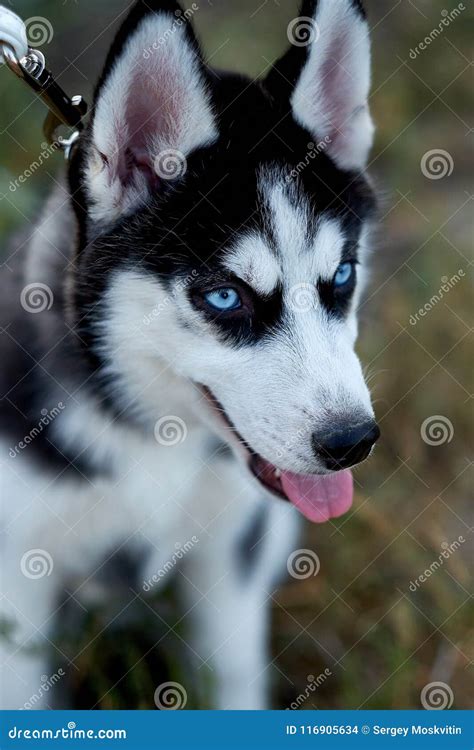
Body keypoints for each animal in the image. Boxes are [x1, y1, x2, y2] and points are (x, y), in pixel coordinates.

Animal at [0, 0, 378, 712]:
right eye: (225, 296)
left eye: (342, 275)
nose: (353, 441)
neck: (152, 436)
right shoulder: (19, 578)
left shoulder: (231, 559)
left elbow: (231, 678)